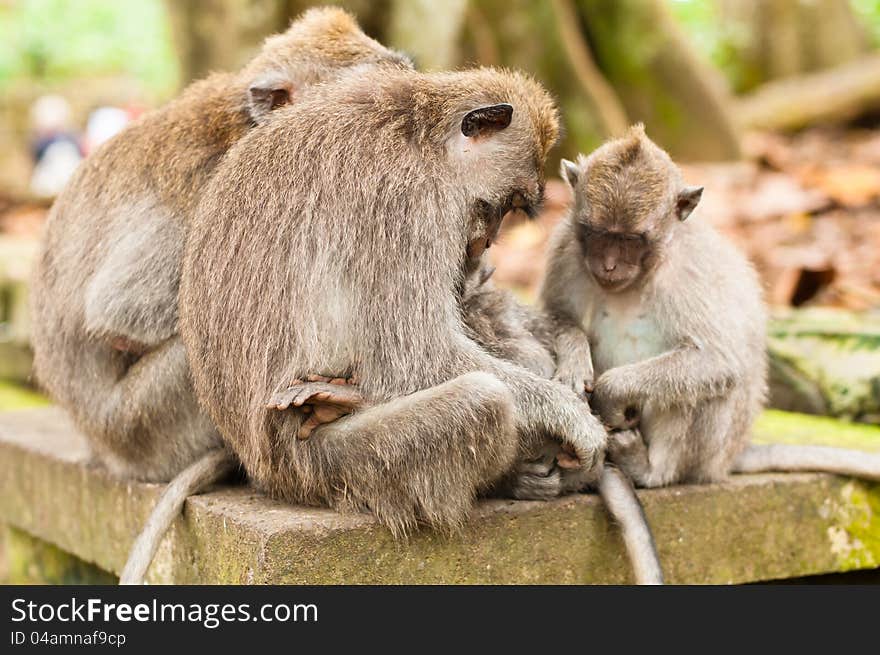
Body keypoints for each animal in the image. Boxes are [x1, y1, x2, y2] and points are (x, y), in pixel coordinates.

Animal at [540, 125, 880, 490]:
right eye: (596, 233)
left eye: (631, 240)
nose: (608, 265)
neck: (646, 273)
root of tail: (731, 456)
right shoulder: (565, 247)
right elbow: (555, 313)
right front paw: (575, 360)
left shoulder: (691, 273)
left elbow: (717, 361)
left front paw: (610, 392)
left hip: (711, 451)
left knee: (701, 390)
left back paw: (649, 468)